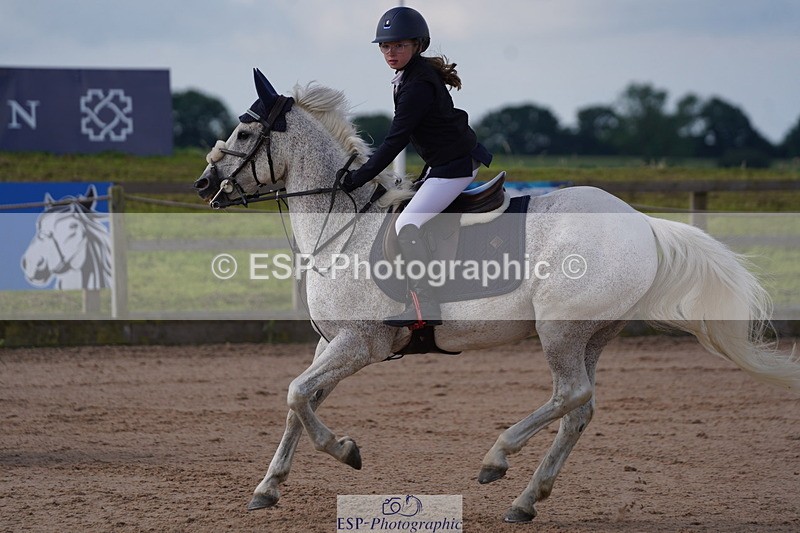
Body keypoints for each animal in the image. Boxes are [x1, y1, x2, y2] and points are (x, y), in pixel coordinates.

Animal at [193, 69, 800, 523]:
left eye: (244, 135)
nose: (203, 186)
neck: (345, 224)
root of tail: (642, 223)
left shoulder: (359, 345)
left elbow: (298, 395)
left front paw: (346, 452)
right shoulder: (332, 345)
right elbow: (300, 402)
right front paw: (268, 487)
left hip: (560, 330)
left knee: (569, 394)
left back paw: (497, 460)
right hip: (592, 334)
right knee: (580, 409)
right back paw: (526, 500)